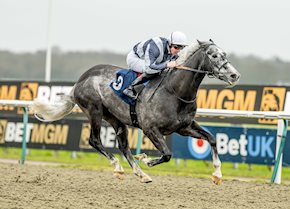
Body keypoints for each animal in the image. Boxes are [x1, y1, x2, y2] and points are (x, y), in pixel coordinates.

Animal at [31, 40, 240, 184]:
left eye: (224, 54)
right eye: (213, 56)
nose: (234, 75)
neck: (175, 91)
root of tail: (78, 82)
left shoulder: (184, 127)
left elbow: (212, 139)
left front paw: (217, 174)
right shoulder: (150, 128)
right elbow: (167, 154)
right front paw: (146, 159)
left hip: (116, 118)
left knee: (123, 146)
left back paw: (141, 174)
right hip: (94, 111)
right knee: (95, 140)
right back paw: (119, 167)